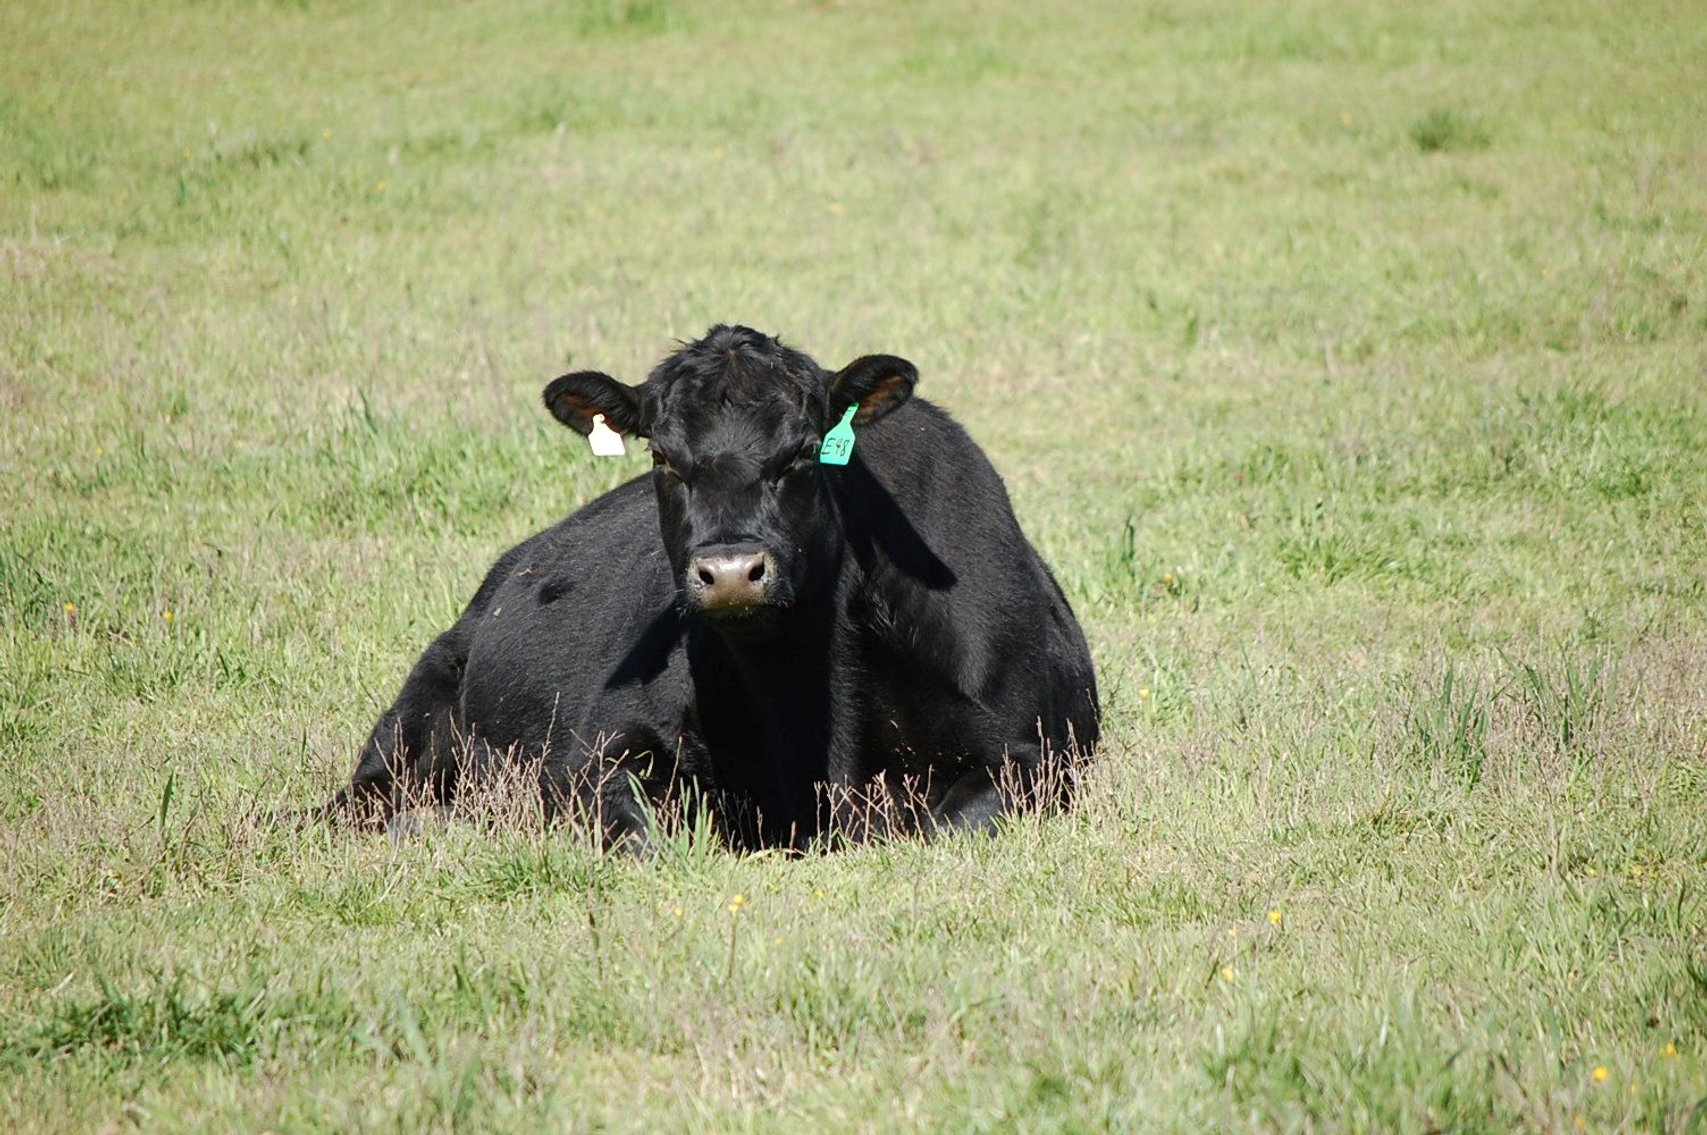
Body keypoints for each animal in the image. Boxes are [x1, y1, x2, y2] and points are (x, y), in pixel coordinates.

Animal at [326, 325, 1098, 851]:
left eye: (804, 450)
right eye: (664, 457)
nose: (730, 573)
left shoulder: (1032, 758)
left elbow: (941, 825)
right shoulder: (597, 753)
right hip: (411, 719)